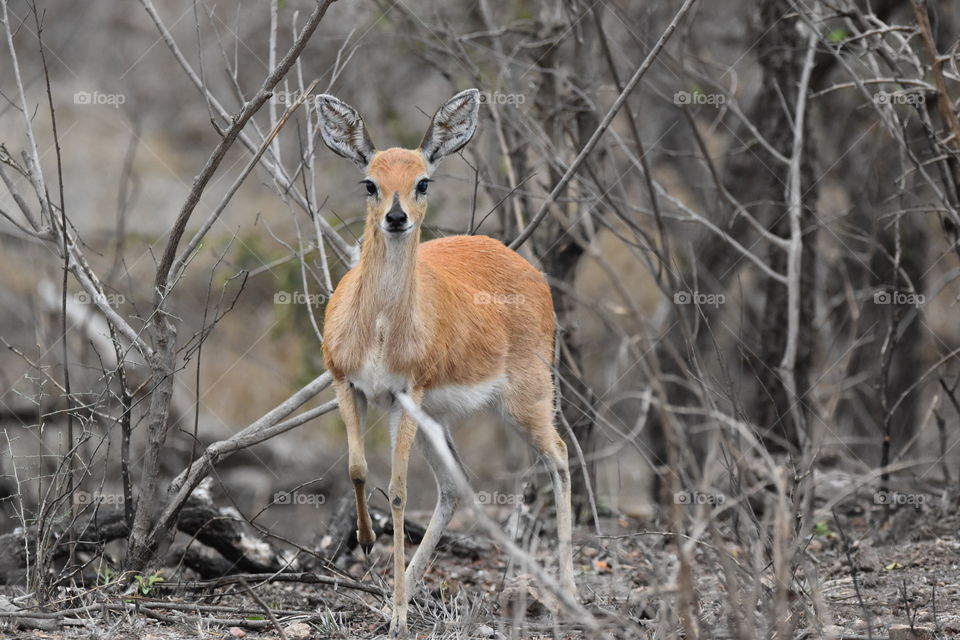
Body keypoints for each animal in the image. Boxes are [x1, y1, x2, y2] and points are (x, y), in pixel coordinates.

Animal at [318, 89, 576, 636]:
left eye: (422, 180)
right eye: (370, 182)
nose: (397, 218)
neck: (379, 329)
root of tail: (531, 270)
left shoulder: (405, 395)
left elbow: (396, 491)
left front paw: (397, 614)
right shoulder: (346, 384)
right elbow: (356, 468)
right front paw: (366, 542)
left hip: (524, 400)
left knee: (559, 457)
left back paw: (568, 592)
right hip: (439, 418)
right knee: (456, 488)